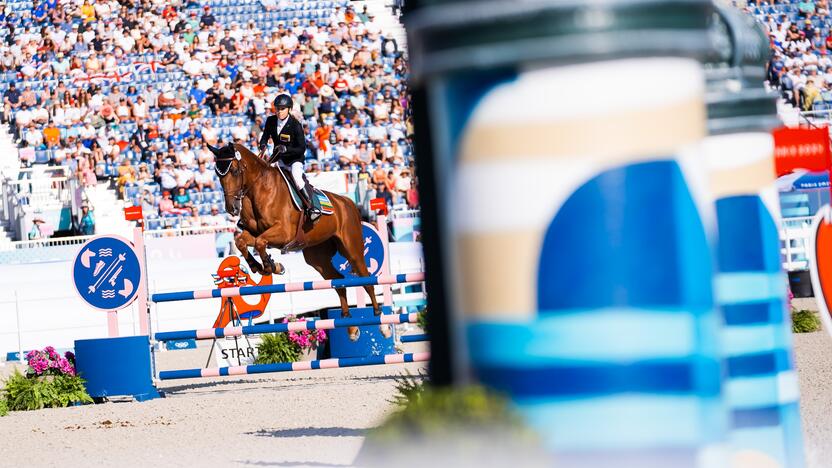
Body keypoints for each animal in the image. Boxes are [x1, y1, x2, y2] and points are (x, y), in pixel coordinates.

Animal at [210, 143, 388, 340]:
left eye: (234, 171)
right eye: (218, 174)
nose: (231, 209)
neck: (258, 190)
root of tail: (348, 203)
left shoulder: (283, 232)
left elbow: (260, 242)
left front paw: (271, 266)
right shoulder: (253, 232)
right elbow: (242, 241)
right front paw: (261, 266)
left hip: (352, 249)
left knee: (366, 279)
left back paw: (381, 321)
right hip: (317, 259)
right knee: (339, 282)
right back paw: (351, 326)